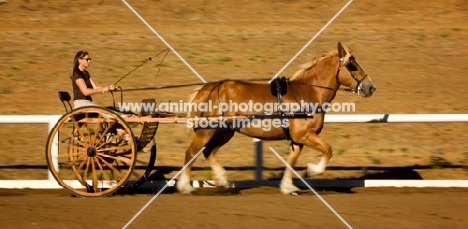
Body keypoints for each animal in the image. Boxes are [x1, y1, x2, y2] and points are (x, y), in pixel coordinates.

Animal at [176, 42, 376, 194]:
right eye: (352, 65)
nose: (370, 87)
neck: (308, 92)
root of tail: (205, 89)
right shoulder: (304, 134)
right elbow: (328, 150)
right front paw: (312, 170)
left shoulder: (298, 138)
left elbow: (291, 161)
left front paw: (288, 187)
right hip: (206, 131)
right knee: (191, 153)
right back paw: (185, 186)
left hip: (224, 132)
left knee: (209, 152)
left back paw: (224, 181)